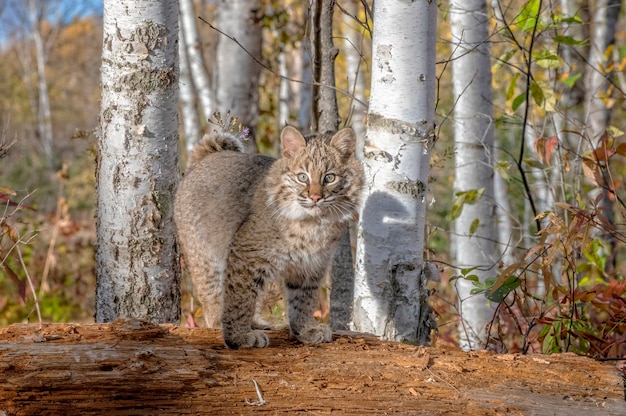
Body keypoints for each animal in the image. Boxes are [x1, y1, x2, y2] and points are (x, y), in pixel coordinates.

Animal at [173, 125, 364, 350]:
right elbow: (240, 298)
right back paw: (223, 321)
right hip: (205, 257)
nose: (315, 198)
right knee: (214, 295)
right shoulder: (245, 254)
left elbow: (304, 299)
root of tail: (208, 158)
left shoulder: (312, 264)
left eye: (329, 177)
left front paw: (304, 330)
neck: (314, 222)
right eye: (302, 177)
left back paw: (255, 322)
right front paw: (238, 337)